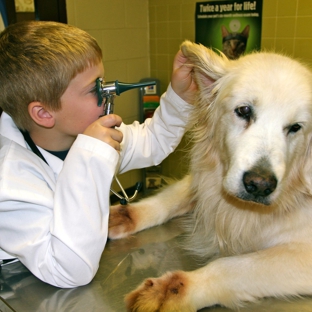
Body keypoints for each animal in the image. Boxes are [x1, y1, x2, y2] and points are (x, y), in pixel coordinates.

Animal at [108, 40, 312, 310]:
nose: (260, 185)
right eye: (244, 110)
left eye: (296, 127)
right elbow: (167, 200)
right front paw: (126, 214)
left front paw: (173, 291)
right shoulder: (207, 181)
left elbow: (233, 267)